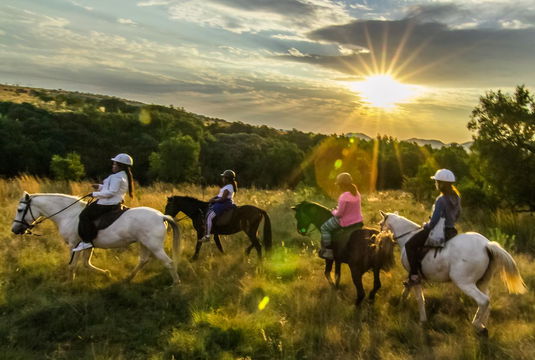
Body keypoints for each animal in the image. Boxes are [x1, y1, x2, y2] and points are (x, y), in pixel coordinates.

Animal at [9, 193, 182, 286]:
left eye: (20, 210)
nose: (15, 230)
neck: (68, 215)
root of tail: (161, 216)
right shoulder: (87, 245)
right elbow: (86, 264)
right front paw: (106, 273)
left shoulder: (74, 244)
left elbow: (72, 265)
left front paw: (69, 284)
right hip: (144, 243)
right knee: (144, 260)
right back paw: (127, 278)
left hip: (154, 246)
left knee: (169, 262)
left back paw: (176, 284)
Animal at [382, 210, 528, 334]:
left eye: (380, 223)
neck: (407, 236)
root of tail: (486, 245)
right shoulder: (414, 276)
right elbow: (407, 289)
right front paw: (400, 302)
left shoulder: (415, 275)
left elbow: (419, 298)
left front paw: (422, 320)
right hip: (482, 282)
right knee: (488, 302)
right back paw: (482, 325)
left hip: (464, 282)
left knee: (483, 301)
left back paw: (477, 325)